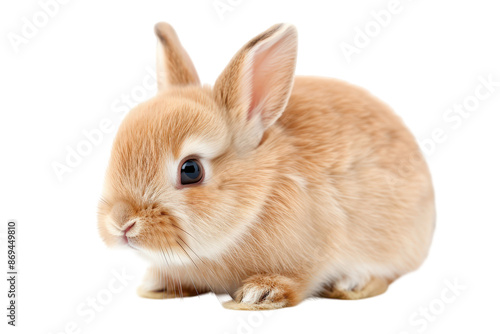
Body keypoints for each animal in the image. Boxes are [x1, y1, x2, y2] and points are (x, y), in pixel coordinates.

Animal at [96, 22, 434, 310]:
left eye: (190, 170)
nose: (121, 223)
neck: (257, 198)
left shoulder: (316, 251)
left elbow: (300, 279)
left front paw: (259, 293)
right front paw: (156, 286)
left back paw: (352, 283)